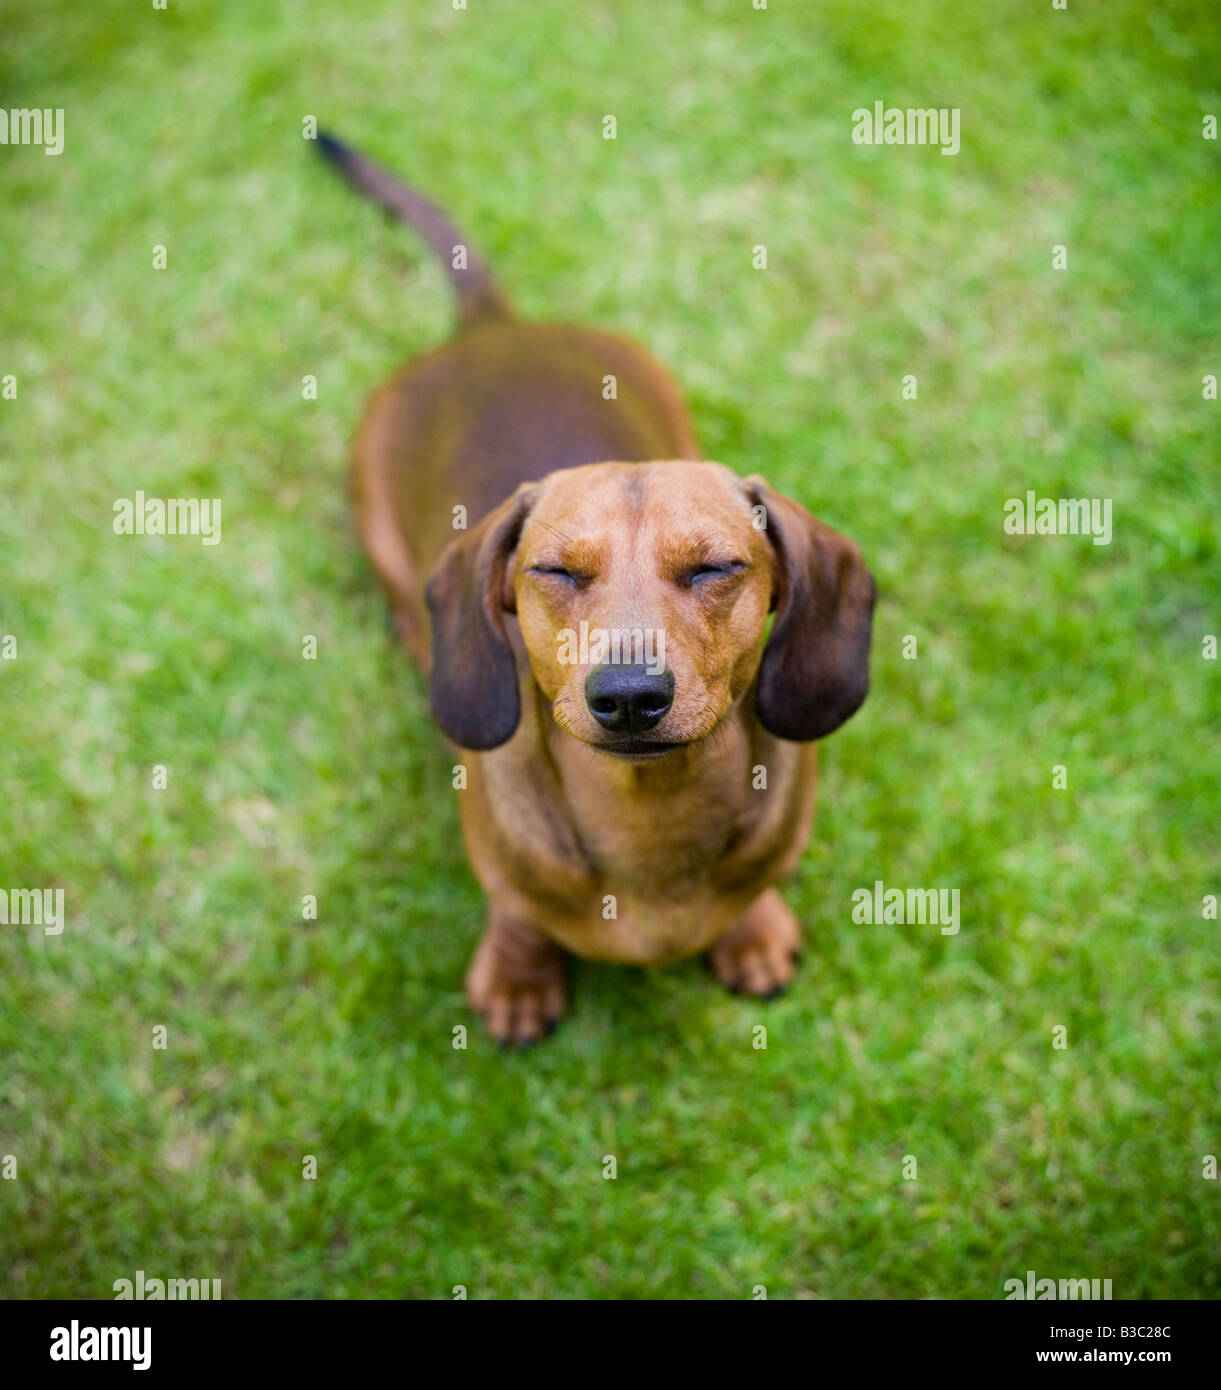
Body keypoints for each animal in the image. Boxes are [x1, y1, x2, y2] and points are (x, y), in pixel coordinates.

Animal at [322, 135, 878, 1045]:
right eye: (554, 571)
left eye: (715, 567)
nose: (627, 697)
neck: (650, 813)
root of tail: (496, 329)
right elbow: (515, 909)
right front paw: (518, 976)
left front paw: (752, 931)